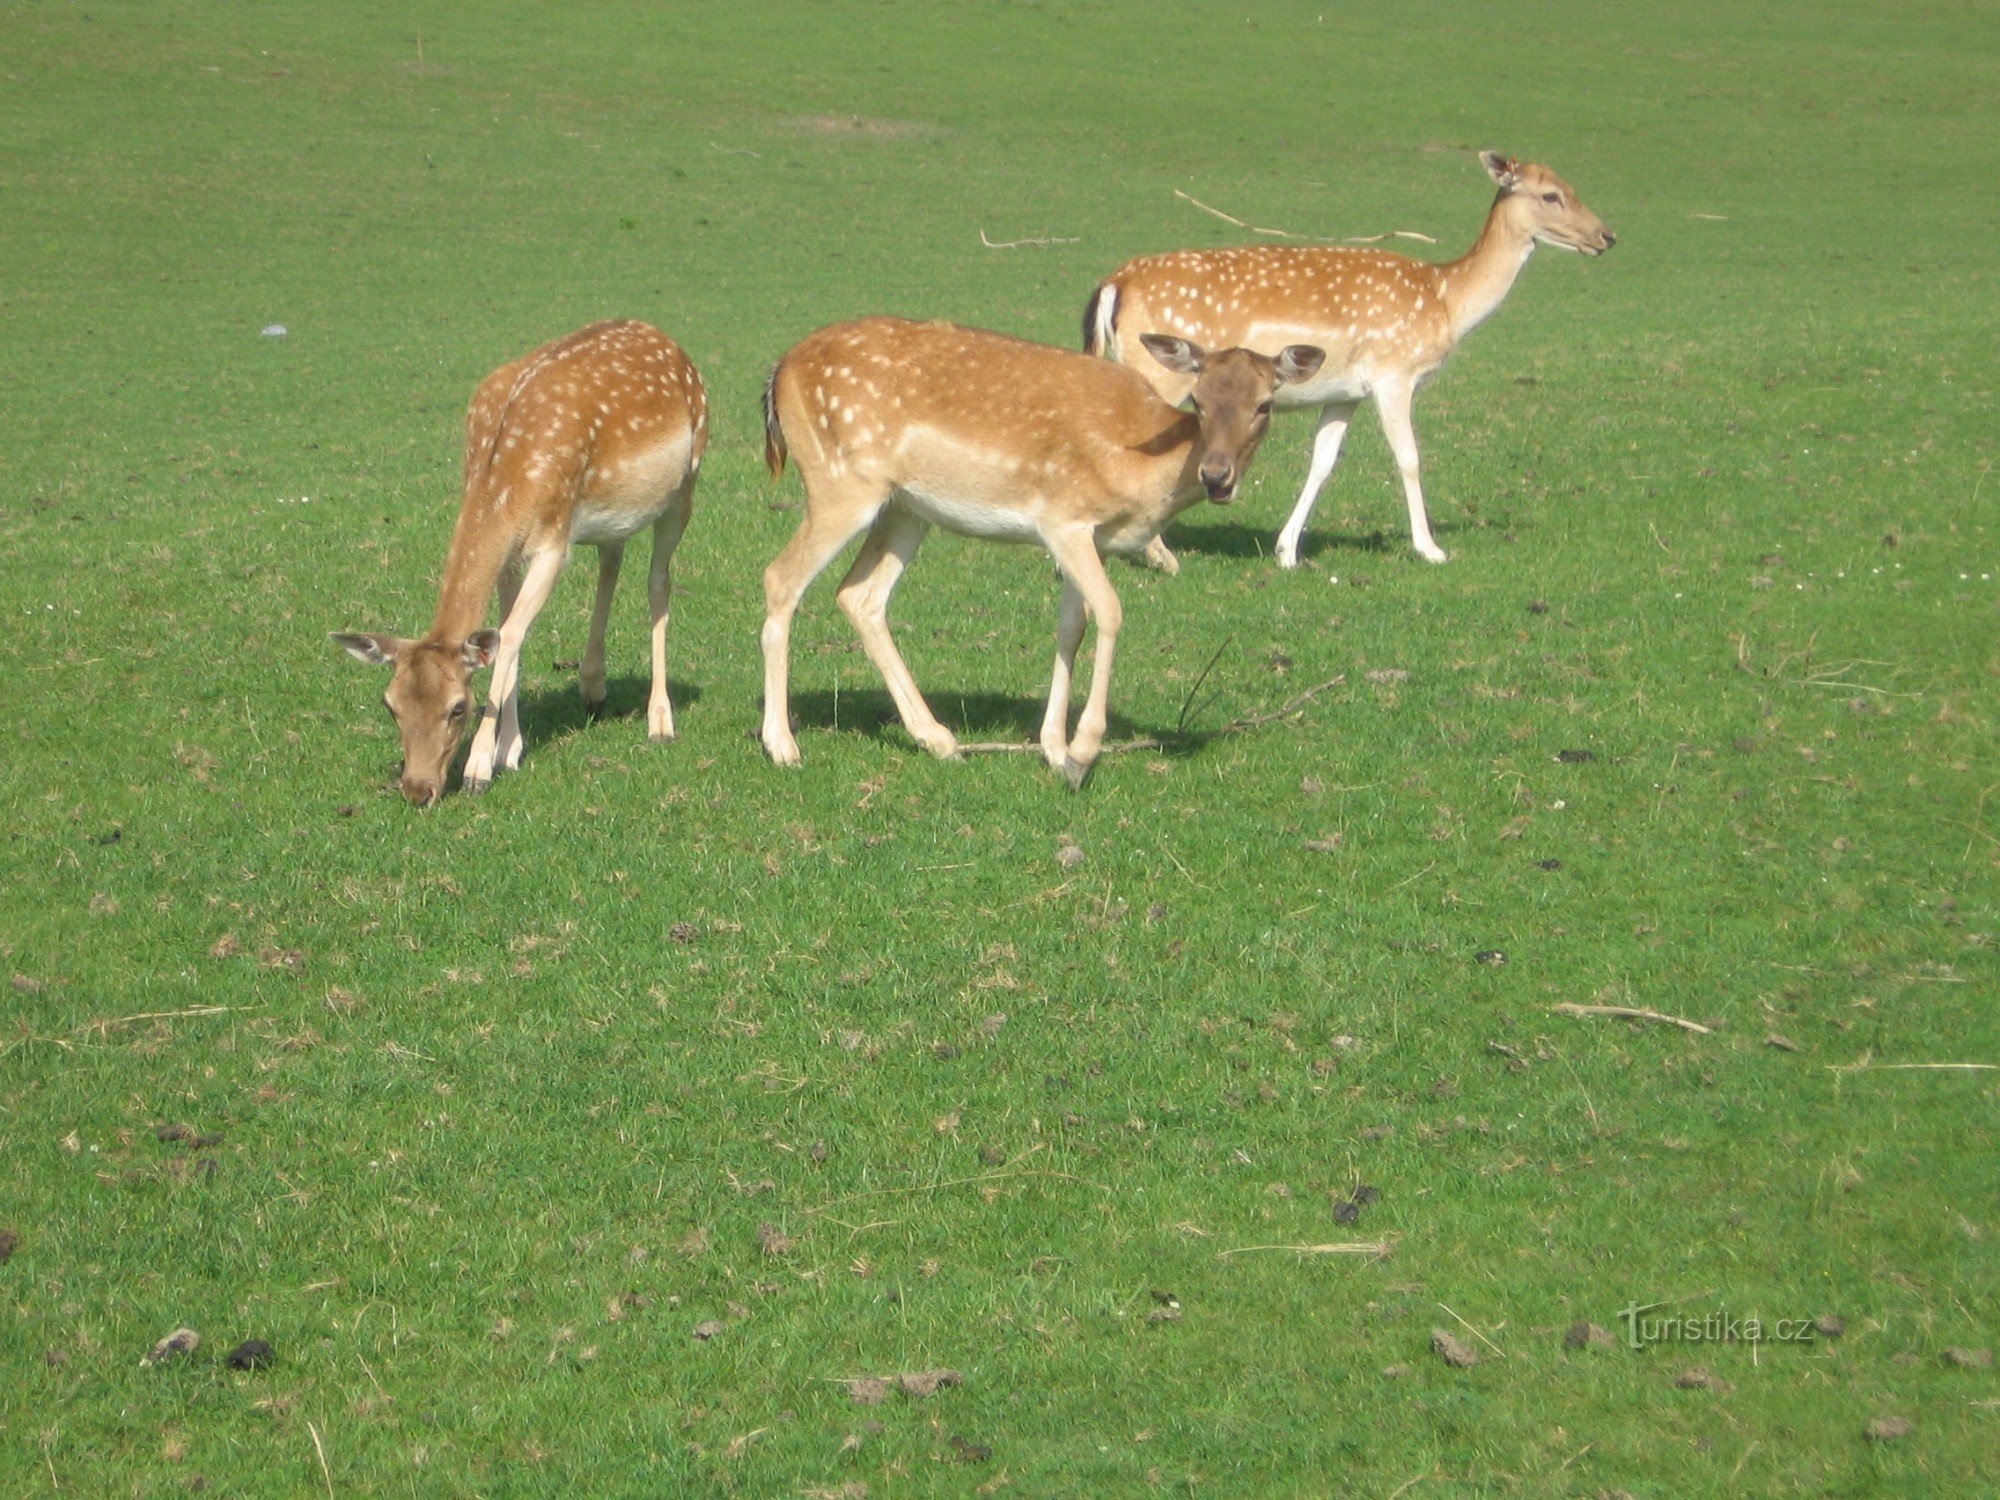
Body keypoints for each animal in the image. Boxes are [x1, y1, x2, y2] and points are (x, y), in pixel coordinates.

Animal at [330, 320, 704, 812]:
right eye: (389, 704)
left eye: (458, 708)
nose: (417, 790)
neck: (505, 484)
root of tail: (671, 343)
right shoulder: (511, 555)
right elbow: (510, 633)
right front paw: (510, 747)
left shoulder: (553, 545)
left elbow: (508, 637)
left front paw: (479, 768)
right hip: (613, 513)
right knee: (612, 559)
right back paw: (593, 687)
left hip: (686, 481)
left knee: (658, 582)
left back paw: (659, 721)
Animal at [756, 316, 1320, 788]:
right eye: (1197, 400)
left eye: (1265, 405)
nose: (1217, 476)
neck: (1143, 466)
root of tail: (779, 372)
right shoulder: (1064, 518)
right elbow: (1110, 611)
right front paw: (1084, 751)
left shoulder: (1094, 540)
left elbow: (1072, 626)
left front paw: (1054, 749)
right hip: (840, 484)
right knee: (780, 578)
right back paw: (782, 745)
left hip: (905, 508)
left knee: (860, 596)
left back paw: (938, 739)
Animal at [1088, 154, 1616, 568]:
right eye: (1551, 195)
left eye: (1572, 186)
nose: (1607, 236)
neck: (1446, 301)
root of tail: (1115, 283)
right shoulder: (1394, 372)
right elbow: (1409, 457)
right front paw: (1430, 548)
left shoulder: (1345, 392)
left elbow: (1323, 461)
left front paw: (1287, 552)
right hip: (1158, 369)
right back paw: (1160, 554)